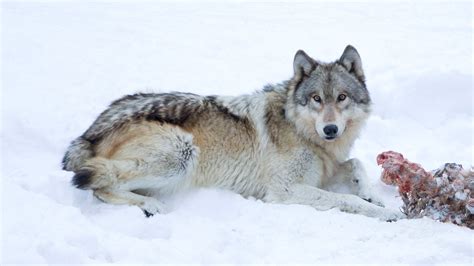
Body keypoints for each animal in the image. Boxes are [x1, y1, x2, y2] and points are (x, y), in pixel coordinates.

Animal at [62, 45, 404, 220]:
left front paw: (373, 194)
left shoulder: (324, 171)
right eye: (316, 99)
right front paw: (386, 213)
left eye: (341, 98)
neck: (301, 130)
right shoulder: (284, 190)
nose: (330, 129)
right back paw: (151, 206)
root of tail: (89, 132)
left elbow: (356, 164)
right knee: (97, 184)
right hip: (182, 154)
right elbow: (347, 200)